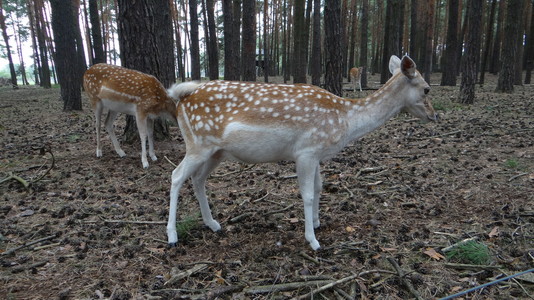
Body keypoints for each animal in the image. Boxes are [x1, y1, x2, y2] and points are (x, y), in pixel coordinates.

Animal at [168, 55, 440, 250]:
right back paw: (172, 235)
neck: (346, 120)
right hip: (197, 144)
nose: (435, 116)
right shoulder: (305, 152)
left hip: (216, 152)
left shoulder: (316, 154)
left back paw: (213, 224)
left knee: (198, 178)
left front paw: (318, 223)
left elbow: (319, 187)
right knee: (176, 175)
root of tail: (180, 98)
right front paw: (313, 240)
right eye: (426, 89)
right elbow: (307, 195)